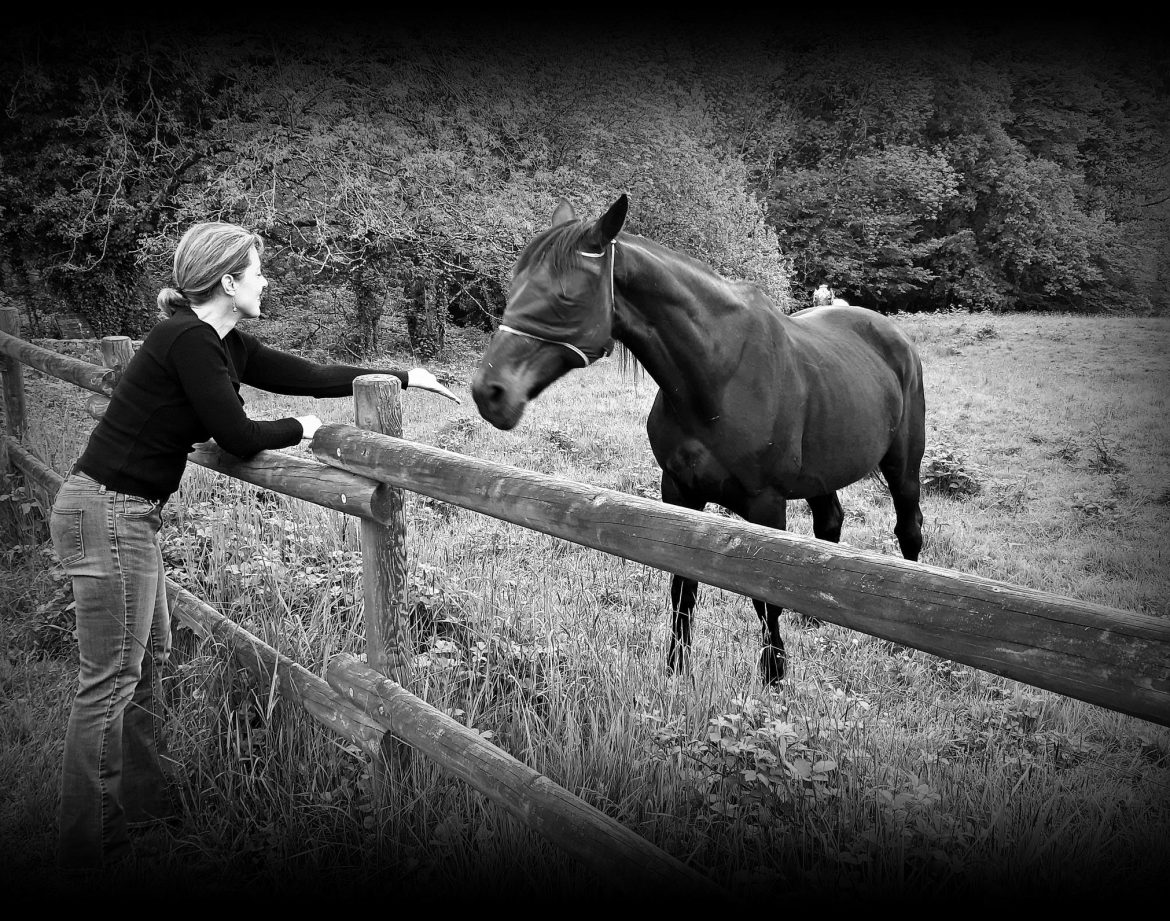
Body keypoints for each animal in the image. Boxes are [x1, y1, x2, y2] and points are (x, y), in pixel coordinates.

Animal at [471, 194, 925, 685]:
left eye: (564, 296)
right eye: (514, 286)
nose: (489, 392)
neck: (717, 377)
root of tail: (892, 334)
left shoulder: (766, 506)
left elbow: (765, 597)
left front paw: (773, 674)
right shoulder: (679, 492)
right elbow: (683, 585)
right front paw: (676, 668)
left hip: (903, 466)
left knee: (909, 528)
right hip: (822, 472)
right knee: (829, 527)